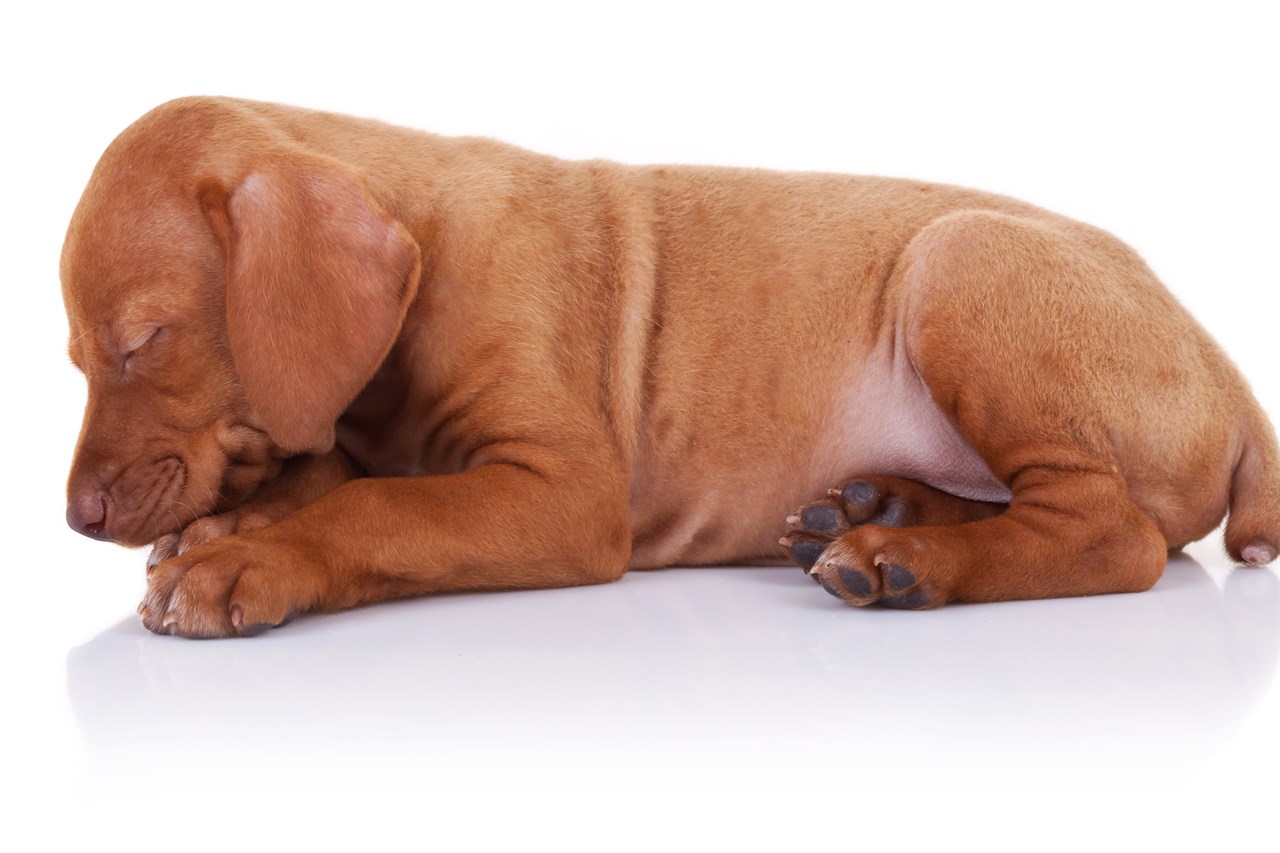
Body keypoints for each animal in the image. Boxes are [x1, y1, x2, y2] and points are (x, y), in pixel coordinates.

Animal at [62, 96, 1280, 635]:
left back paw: (909, 560)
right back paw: (873, 510)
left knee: (1111, 532)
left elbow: (378, 511)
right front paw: (232, 525)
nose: (77, 517)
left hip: (958, 261)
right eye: (76, 357)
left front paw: (245, 562)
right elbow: (337, 473)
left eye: (144, 340)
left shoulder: (564, 491)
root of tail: (1229, 375)